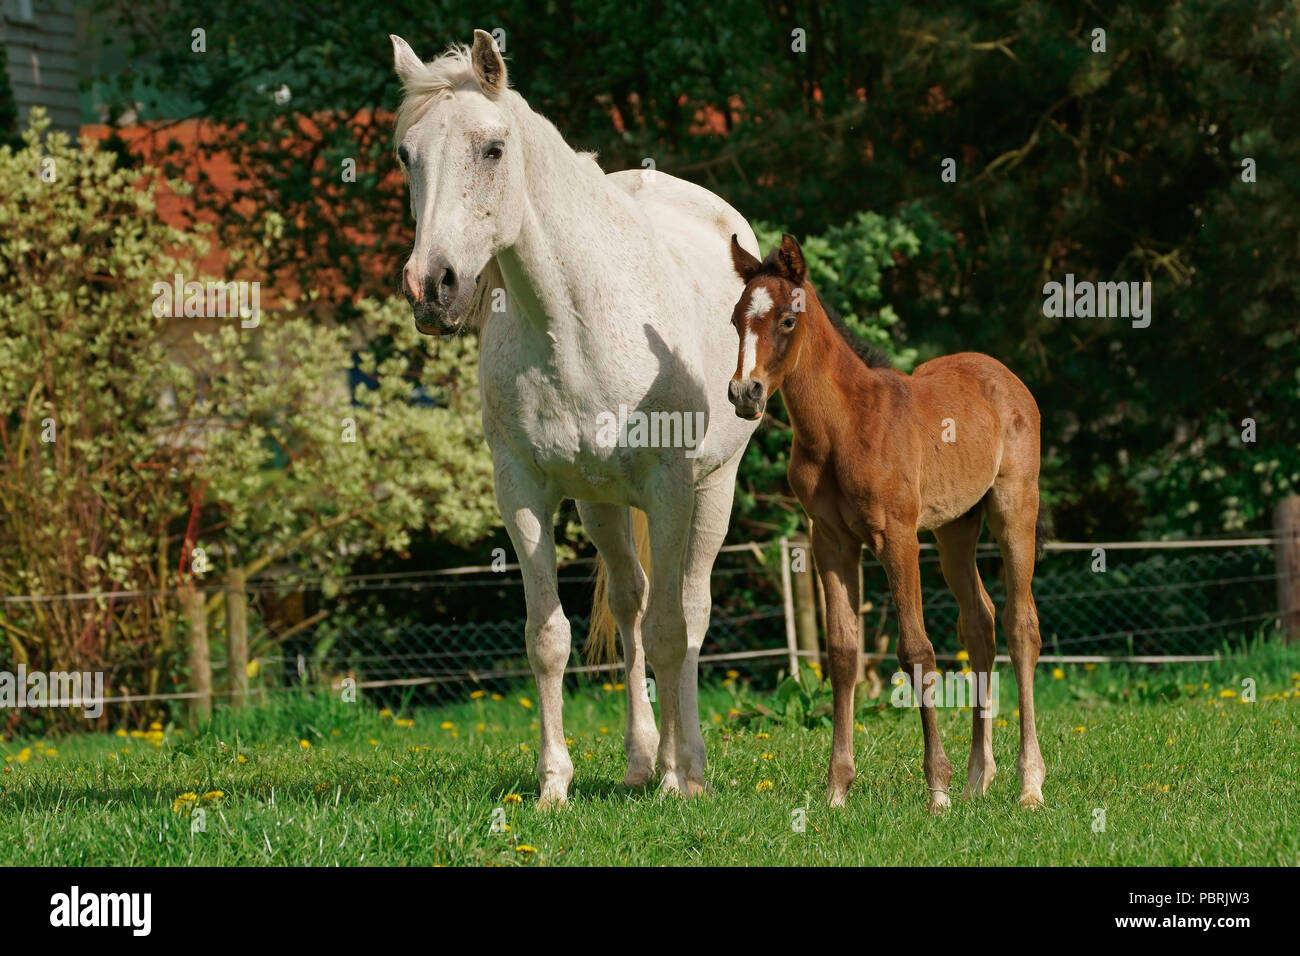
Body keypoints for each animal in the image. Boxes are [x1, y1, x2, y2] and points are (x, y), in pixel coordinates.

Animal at [390, 30, 761, 804]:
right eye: (406, 154)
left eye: (492, 148)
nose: (432, 287)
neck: (578, 317)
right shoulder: (524, 489)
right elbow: (549, 637)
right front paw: (553, 784)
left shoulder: (672, 488)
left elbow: (675, 631)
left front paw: (680, 780)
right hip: (602, 506)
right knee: (630, 604)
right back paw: (643, 758)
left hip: (714, 489)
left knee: (689, 610)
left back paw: (686, 764)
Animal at [725, 233, 1047, 811]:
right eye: (737, 319)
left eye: (787, 319)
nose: (746, 394)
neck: (842, 426)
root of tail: (1005, 376)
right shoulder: (830, 541)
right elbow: (842, 652)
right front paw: (837, 789)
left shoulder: (897, 536)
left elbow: (916, 648)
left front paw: (937, 789)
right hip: (954, 528)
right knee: (980, 623)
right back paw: (978, 779)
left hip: (1014, 507)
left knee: (1019, 624)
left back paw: (1028, 784)